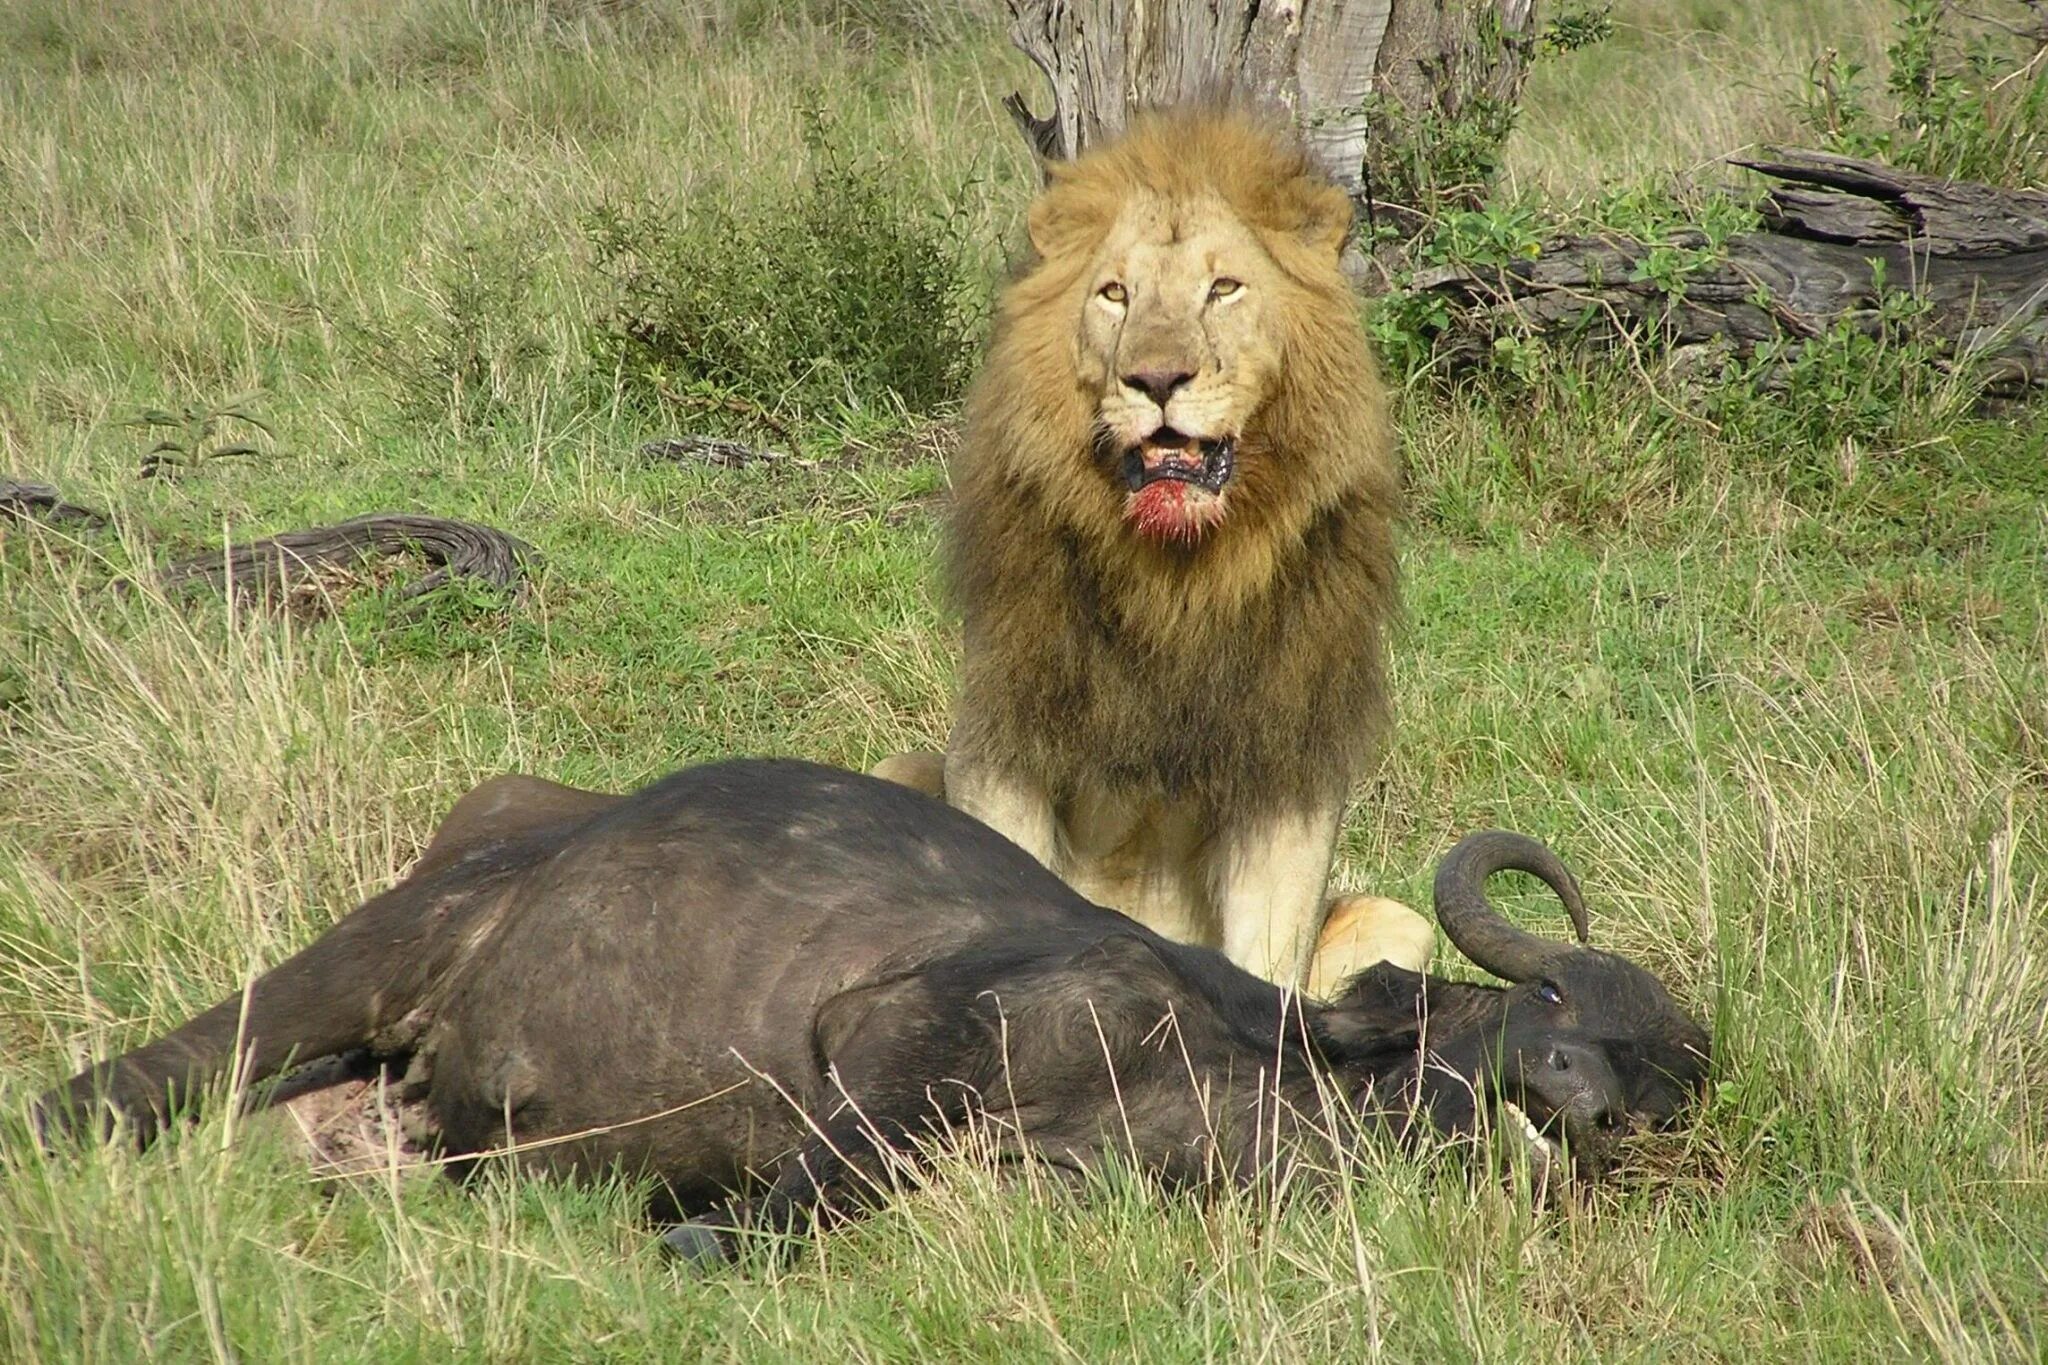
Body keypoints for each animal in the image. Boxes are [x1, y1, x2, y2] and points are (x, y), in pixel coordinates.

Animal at [36, 765, 1712, 1268]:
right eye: (1551, 1000)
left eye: (1666, 1076)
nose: (1588, 1110)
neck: (1236, 1076)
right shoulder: (888, 1053)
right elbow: (767, 1215)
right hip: (368, 952)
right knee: (130, 1082)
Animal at [872, 109, 1433, 994]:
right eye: (1115, 294)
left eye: (1223, 288)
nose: (1158, 378)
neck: (1178, 584)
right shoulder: (1003, 742)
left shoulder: (1289, 766)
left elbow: (1268, 962)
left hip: (1401, 920)